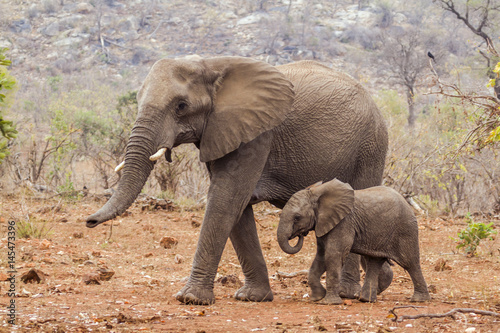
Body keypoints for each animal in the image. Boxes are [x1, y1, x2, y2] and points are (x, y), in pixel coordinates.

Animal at [86, 55, 390, 304]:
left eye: (181, 106)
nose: (89, 221)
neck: (211, 64)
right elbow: (237, 207)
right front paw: (252, 297)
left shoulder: (258, 134)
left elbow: (227, 198)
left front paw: (190, 299)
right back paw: (382, 282)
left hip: (370, 146)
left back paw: (349, 294)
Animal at [278, 179, 430, 304]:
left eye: (297, 217)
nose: (299, 235)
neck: (317, 193)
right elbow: (321, 257)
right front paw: (317, 298)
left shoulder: (344, 222)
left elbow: (333, 255)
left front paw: (328, 302)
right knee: (374, 262)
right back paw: (365, 299)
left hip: (405, 229)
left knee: (410, 262)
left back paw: (419, 300)